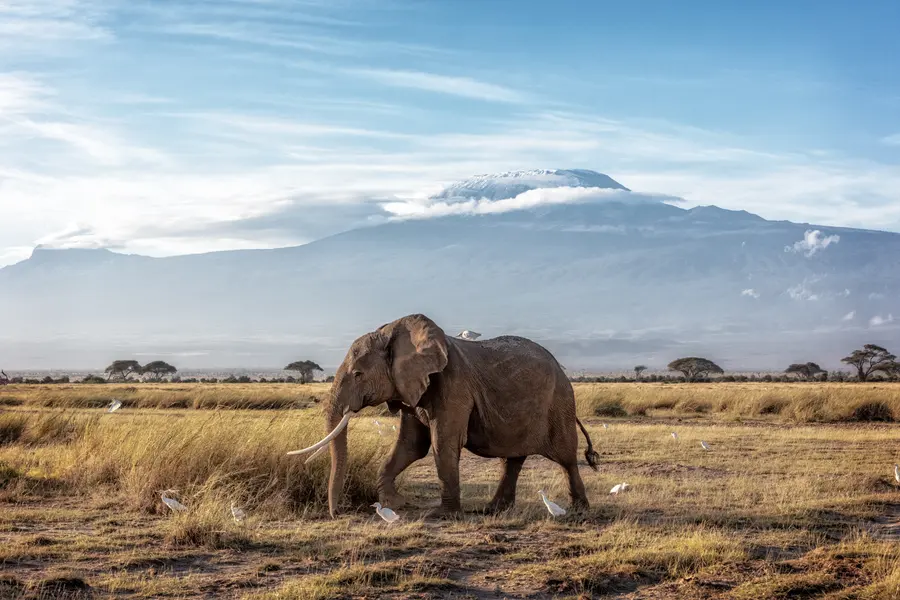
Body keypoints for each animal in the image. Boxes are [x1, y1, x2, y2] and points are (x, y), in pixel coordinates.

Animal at [289, 314, 599, 518]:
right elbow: (411, 446)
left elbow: (443, 443)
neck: (396, 332)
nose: (336, 514)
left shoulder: (453, 384)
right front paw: (394, 504)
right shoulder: (412, 389)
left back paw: (578, 510)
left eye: (358, 374)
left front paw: (442, 514)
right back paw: (493, 509)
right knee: (512, 460)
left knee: (565, 456)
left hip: (559, 401)